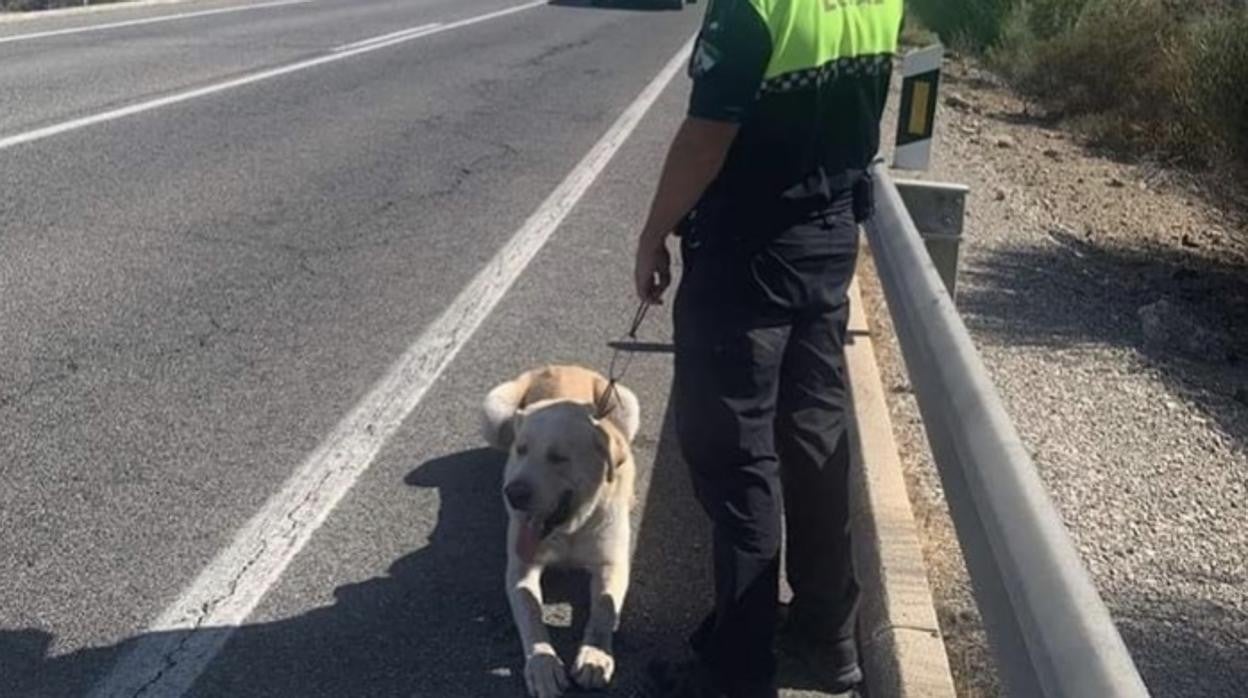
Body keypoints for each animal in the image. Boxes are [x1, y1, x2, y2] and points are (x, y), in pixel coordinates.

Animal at [474, 367, 633, 698]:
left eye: (559, 457)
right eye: (521, 450)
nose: (513, 494)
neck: (570, 529)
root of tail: (563, 365)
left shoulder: (612, 563)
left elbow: (603, 609)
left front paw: (594, 656)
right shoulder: (521, 568)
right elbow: (531, 613)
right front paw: (542, 664)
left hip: (627, 404)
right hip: (494, 410)